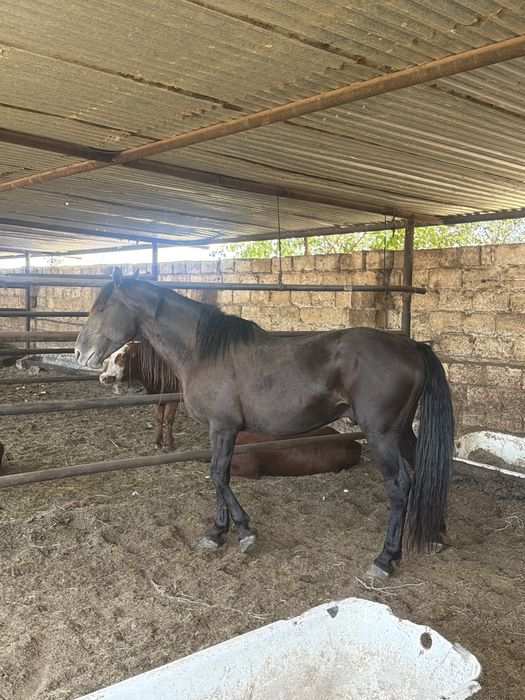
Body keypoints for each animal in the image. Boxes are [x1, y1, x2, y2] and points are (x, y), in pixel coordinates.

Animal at [99, 341, 362, 475]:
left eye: (121, 356)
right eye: (111, 355)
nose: (103, 377)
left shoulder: (173, 396)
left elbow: (169, 419)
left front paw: (169, 442)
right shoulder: (156, 395)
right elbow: (158, 417)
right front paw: (157, 441)